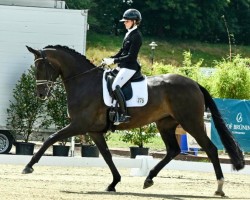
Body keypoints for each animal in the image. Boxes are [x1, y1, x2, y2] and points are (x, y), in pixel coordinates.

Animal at [24, 45, 244, 195]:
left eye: (42, 66)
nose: (41, 94)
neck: (84, 81)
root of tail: (195, 83)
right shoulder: (94, 130)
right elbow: (107, 155)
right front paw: (113, 183)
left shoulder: (79, 125)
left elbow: (50, 139)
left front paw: (29, 166)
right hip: (165, 124)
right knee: (173, 150)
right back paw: (148, 179)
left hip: (191, 122)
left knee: (211, 149)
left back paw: (219, 187)